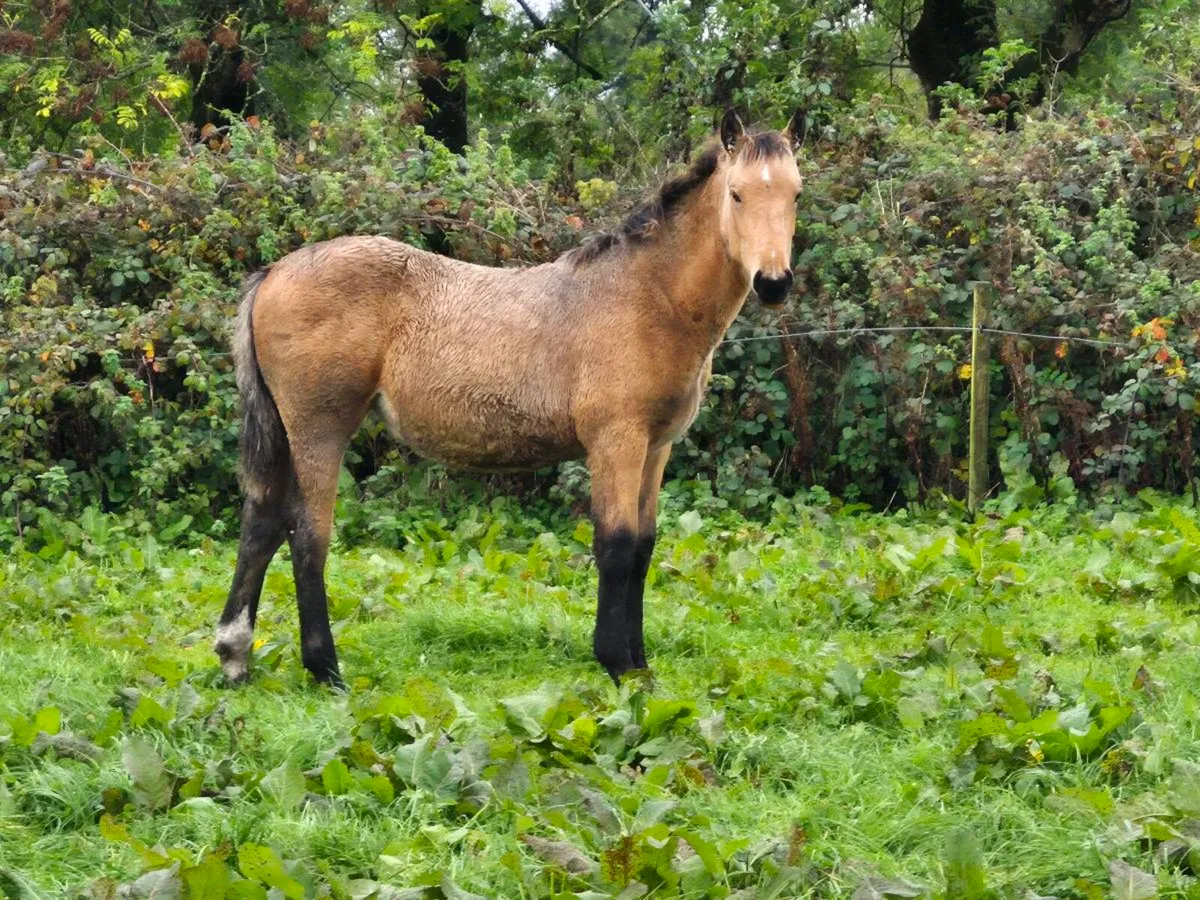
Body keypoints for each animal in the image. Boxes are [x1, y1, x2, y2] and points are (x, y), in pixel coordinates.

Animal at [213, 109, 804, 687]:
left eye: (795, 193)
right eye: (736, 195)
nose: (774, 282)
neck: (649, 298)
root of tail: (274, 272)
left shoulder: (656, 447)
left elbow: (642, 546)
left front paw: (640, 669)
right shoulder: (615, 440)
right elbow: (615, 545)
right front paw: (616, 663)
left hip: (285, 430)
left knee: (261, 523)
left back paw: (235, 656)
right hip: (320, 427)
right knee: (307, 533)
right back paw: (326, 669)